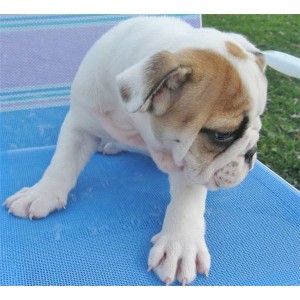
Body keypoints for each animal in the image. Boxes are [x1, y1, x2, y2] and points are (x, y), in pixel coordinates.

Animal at [3, 17, 268, 286]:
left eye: (259, 122)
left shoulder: (188, 160)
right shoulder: (80, 121)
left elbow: (188, 198)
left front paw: (180, 243)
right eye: (222, 135)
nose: (251, 152)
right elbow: (62, 162)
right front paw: (42, 193)